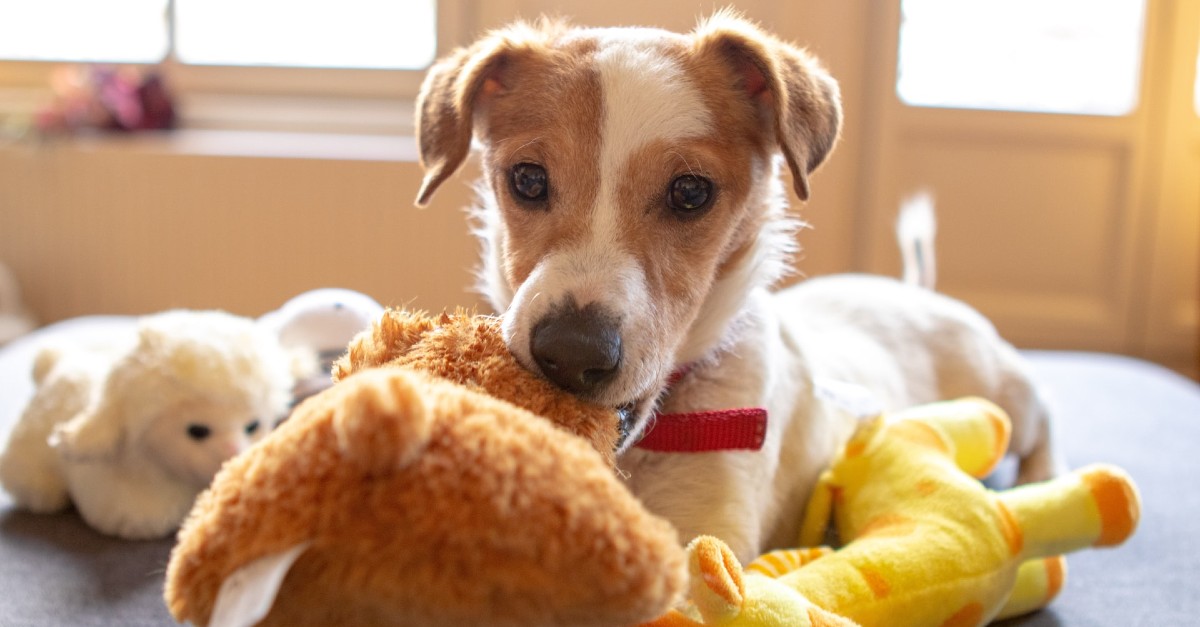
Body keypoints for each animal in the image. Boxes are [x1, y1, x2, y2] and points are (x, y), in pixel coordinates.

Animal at [415, 10, 1060, 557]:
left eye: (690, 192)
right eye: (527, 179)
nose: (570, 355)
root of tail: (915, 291)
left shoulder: (708, 538)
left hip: (1005, 396)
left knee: (1043, 425)